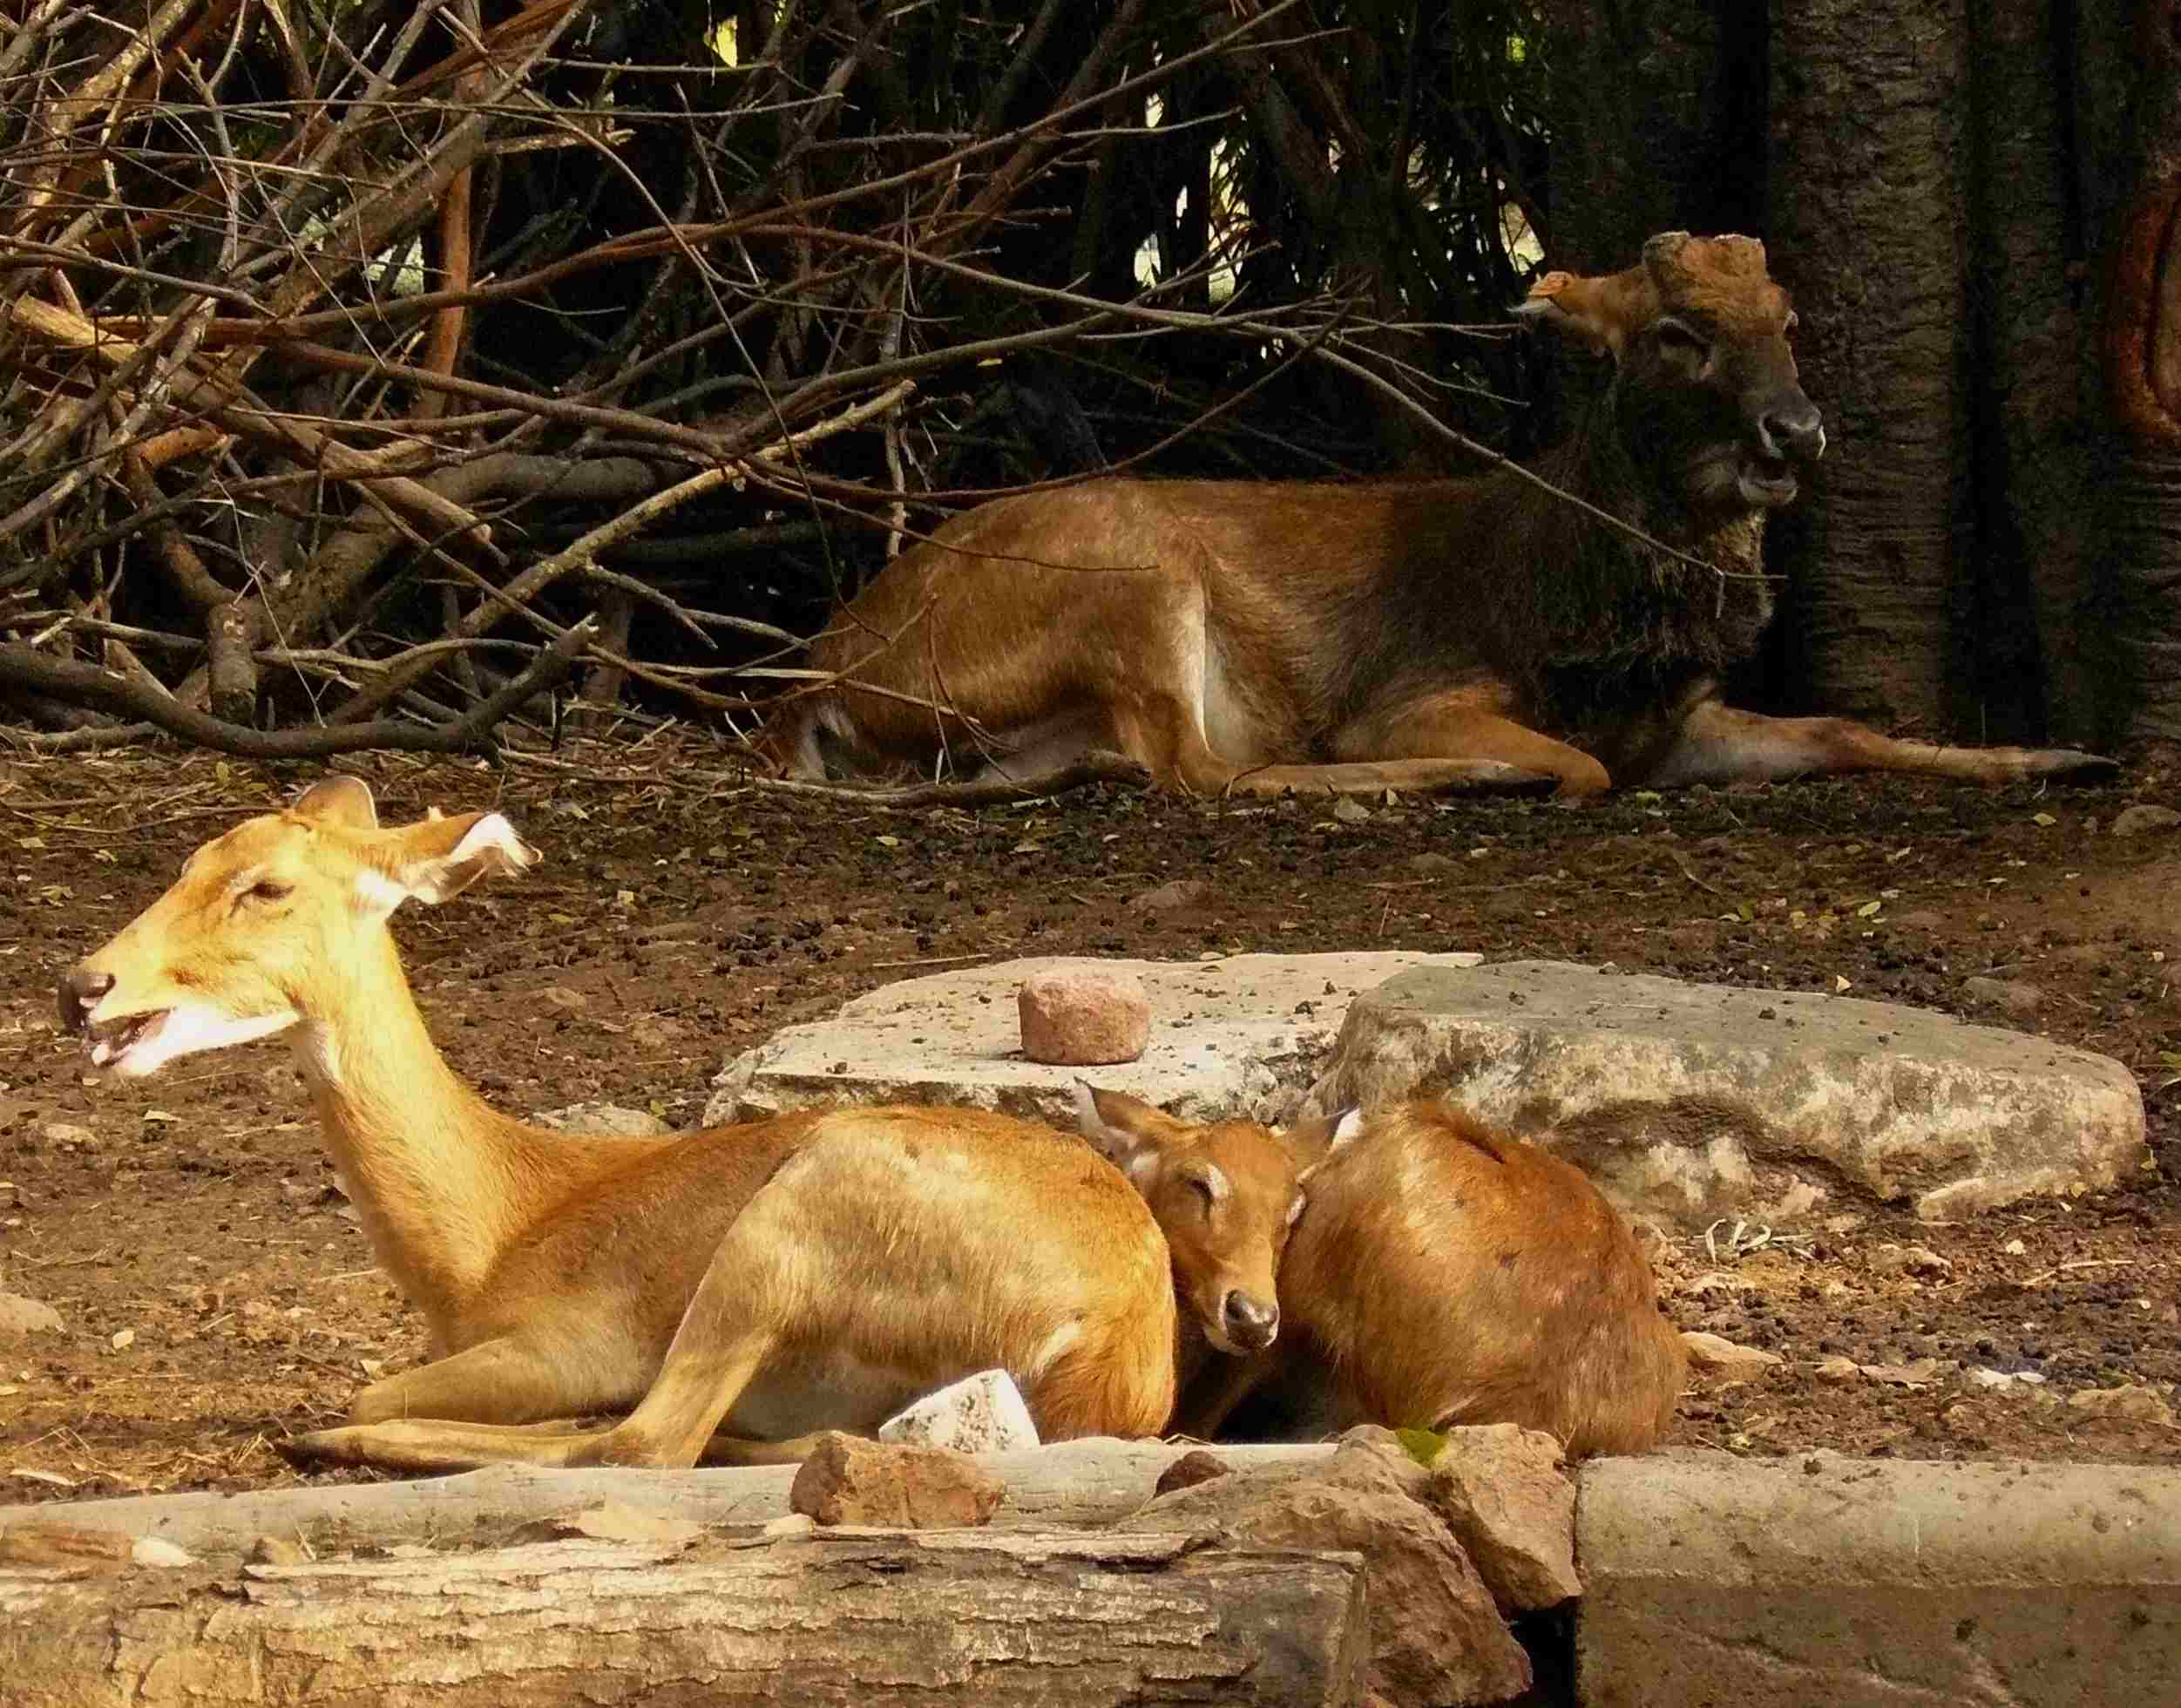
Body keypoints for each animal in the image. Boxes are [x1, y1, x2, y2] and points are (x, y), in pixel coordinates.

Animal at [51, 778, 1279, 1475]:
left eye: (266, 884)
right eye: (190, 858)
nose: (84, 986)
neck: (487, 1236)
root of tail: (1100, 1344)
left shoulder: (570, 1334)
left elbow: (382, 1384)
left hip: (791, 1220)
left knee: (647, 1439)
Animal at [757, 231, 2113, 798]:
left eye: (1786, 320)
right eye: (1678, 333)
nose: (1796, 432)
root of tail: (824, 674)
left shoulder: (1675, 720)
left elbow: (1839, 728)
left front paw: (2058, 754)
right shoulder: (1426, 682)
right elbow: (1579, 768)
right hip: (1130, 581)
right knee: (1205, 771)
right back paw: (1446, 774)